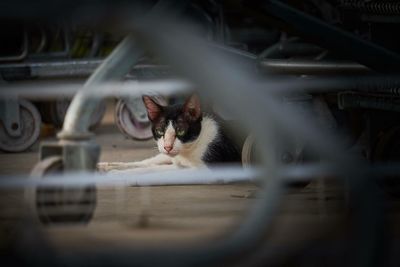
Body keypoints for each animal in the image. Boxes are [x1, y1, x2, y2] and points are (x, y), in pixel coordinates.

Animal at [97, 94, 241, 174]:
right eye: (160, 131)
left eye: (181, 131)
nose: (168, 147)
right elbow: (152, 166)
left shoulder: (210, 169)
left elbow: (158, 171)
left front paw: (118, 174)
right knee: (148, 161)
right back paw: (104, 166)